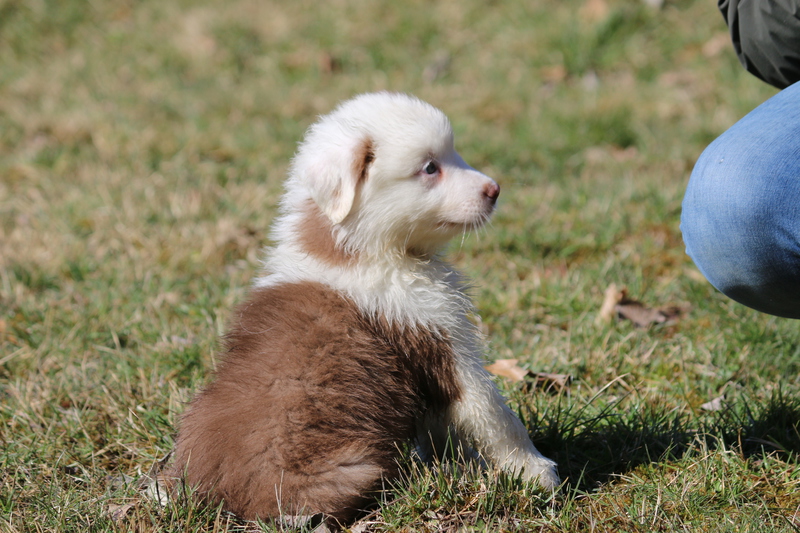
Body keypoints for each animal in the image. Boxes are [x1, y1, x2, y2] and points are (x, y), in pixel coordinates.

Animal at [167, 92, 559, 524]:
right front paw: (538, 472)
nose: (495, 189)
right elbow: (494, 414)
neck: (362, 247)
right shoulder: (439, 340)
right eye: (430, 167)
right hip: (352, 466)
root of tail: (221, 499)